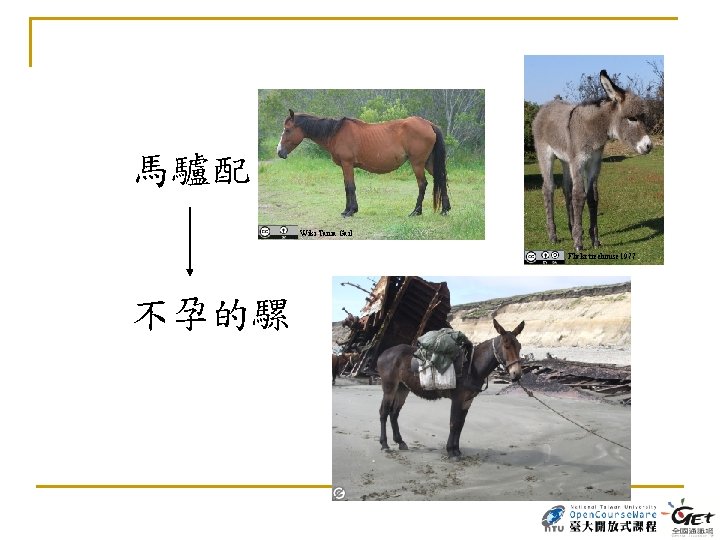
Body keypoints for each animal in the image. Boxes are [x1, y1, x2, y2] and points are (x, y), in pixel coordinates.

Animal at [276, 110, 450, 217]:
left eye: (287, 130)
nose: (279, 152)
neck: (335, 133)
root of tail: (429, 124)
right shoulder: (346, 166)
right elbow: (347, 187)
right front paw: (349, 209)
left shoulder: (347, 164)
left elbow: (350, 187)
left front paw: (350, 211)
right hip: (428, 163)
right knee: (441, 178)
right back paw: (445, 210)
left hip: (417, 163)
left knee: (422, 184)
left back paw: (416, 211)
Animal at [376, 319, 524, 459]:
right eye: (506, 346)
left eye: (519, 346)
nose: (517, 374)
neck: (472, 366)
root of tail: (384, 353)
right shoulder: (457, 398)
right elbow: (454, 423)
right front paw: (451, 451)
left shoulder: (467, 400)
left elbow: (460, 424)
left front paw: (457, 450)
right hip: (389, 387)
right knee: (384, 412)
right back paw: (384, 444)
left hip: (402, 389)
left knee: (394, 413)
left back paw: (400, 442)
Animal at [532, 70, 653, 251]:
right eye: (632, 118)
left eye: (643, 118)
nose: (649, 146)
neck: (593, 131)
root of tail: (546, 106)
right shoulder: (579, 162)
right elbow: (579, 196)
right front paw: (578, 243)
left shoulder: (594, 163)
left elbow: (592, 197)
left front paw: (594, 240)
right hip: (546, 155)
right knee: (548, 188)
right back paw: (553, 236)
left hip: (565, 160)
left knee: (566, 189)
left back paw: (571, 228)